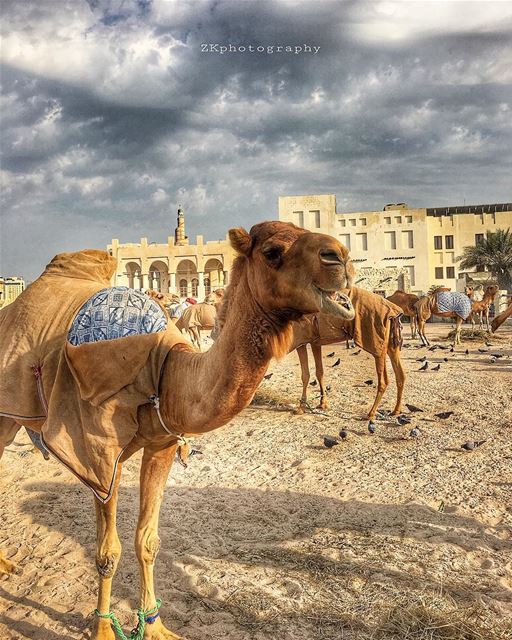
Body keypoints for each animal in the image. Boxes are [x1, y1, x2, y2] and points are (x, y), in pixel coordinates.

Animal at [0, 221, 356, 640]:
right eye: (272, 251)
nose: (340, 257)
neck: (165, 370)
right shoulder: (97, 451)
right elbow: (107, 551)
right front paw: (103, 628)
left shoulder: (162, 443)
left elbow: (147, 540)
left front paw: (153, 625)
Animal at [292, 286, 404, 420]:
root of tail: (392, 310)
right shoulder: (315, 342)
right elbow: (319, 373)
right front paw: (323, 404)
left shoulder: (301, 340)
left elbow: (305, 375)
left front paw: (301, 408)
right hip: (391, 344)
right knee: (400, 375)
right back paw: (396, 410)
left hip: (377, 342)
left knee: (383, 380)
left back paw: (371, 413)